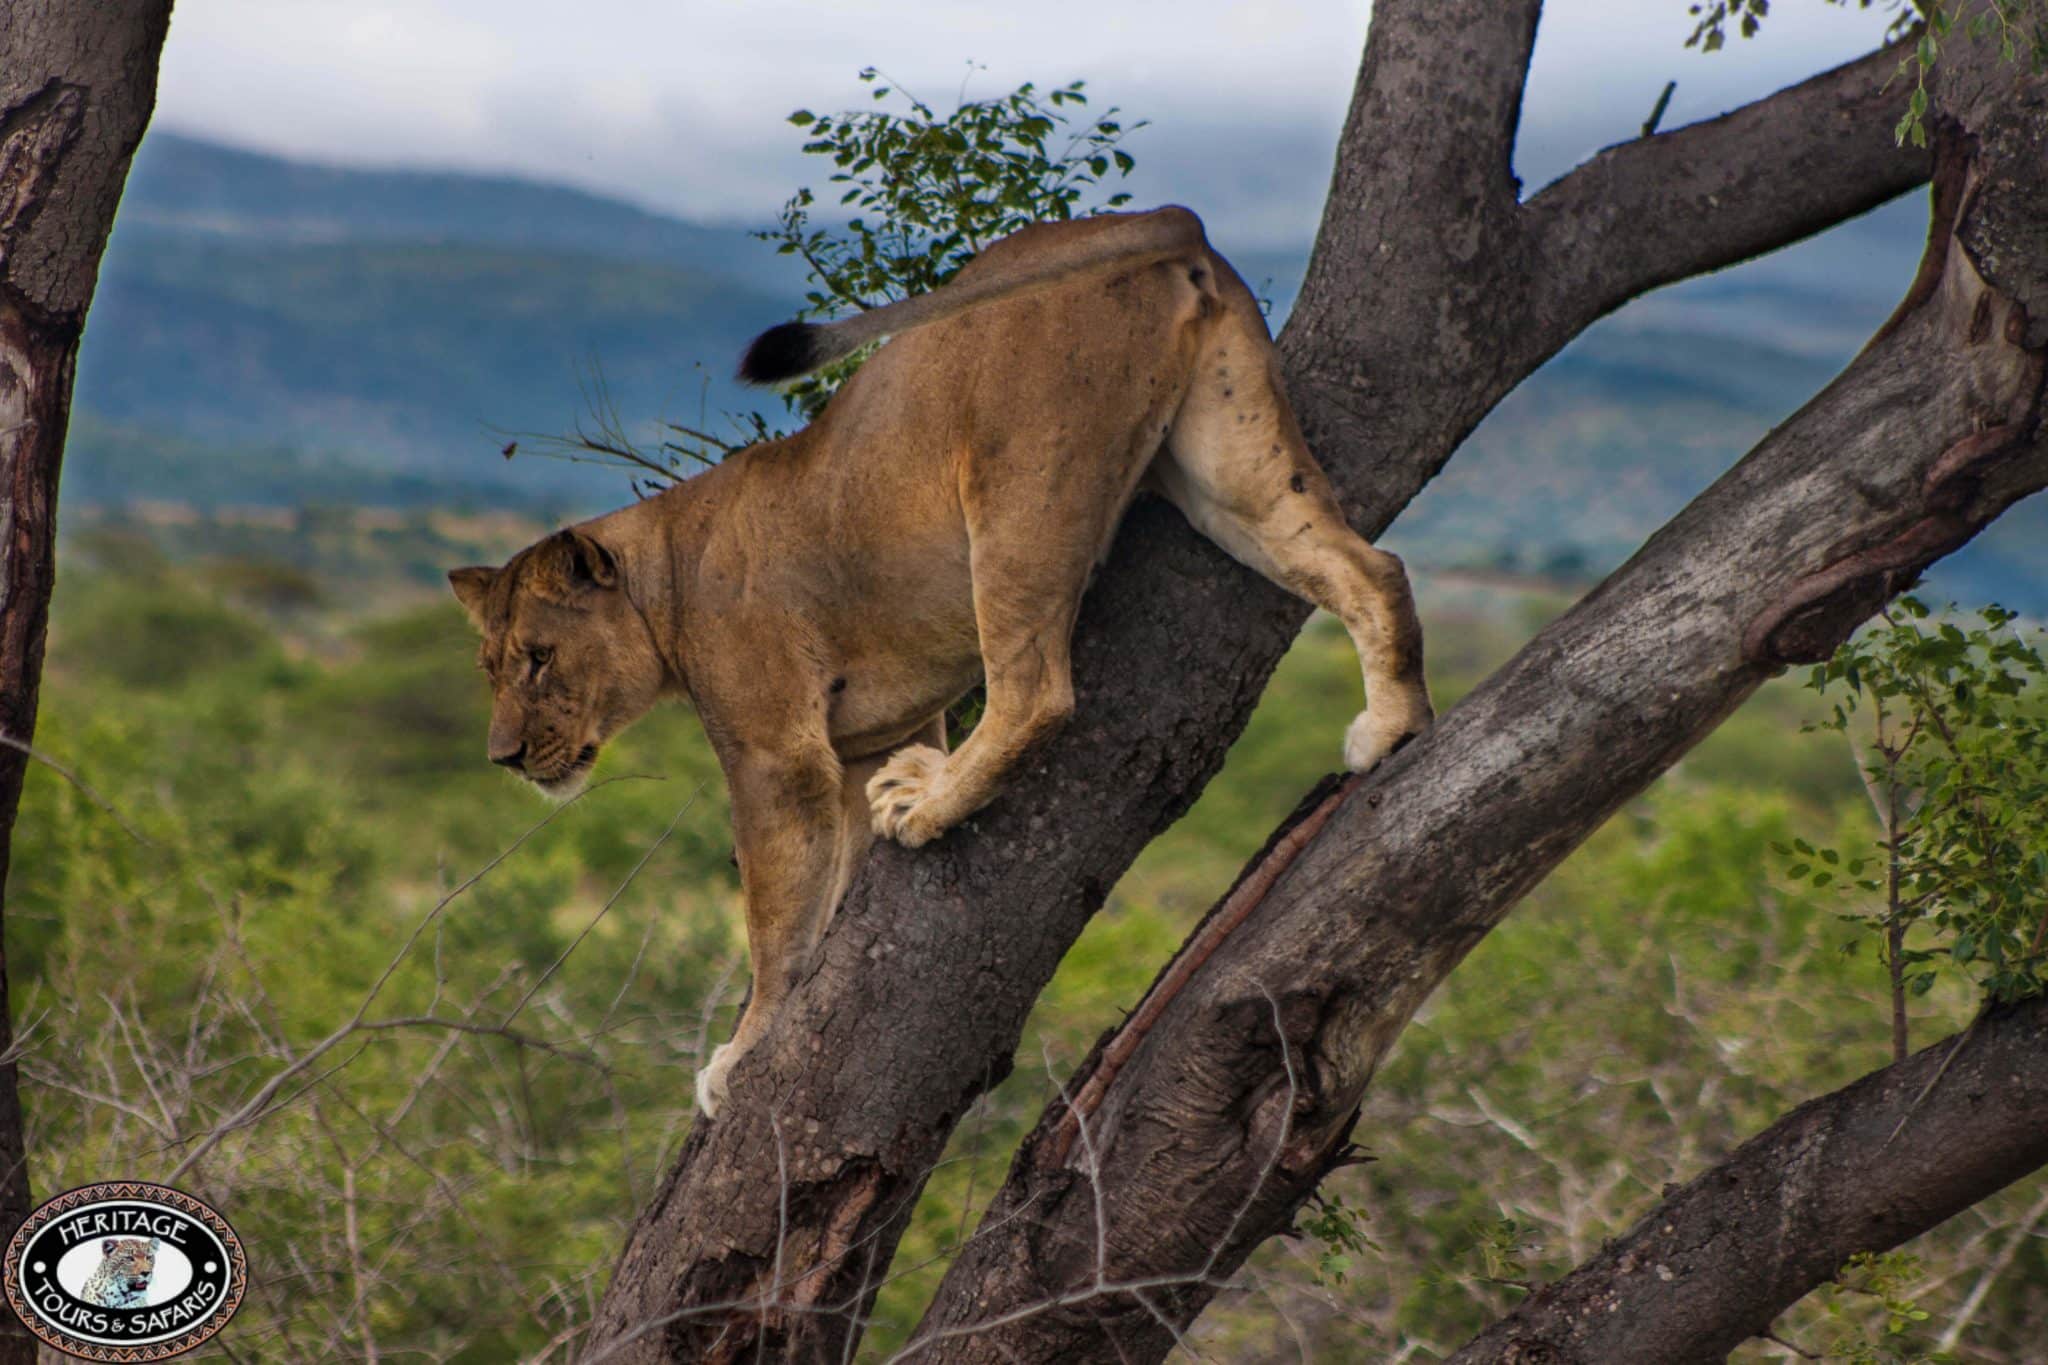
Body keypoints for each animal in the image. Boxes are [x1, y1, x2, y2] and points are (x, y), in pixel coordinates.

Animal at [450, 206, 1432, 1117]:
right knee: (1370, 567)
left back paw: (926, 806)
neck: (665, 572)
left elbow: (775, 924)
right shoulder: (859, 742)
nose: (501, 756)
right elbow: (825, 895)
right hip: (1230, 463)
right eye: (491, 669)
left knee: (1037, 692)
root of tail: (1154, 217)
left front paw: (741, 1054)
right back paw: (1393, 727)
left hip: (1015, 494)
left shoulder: (777, 757)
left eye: (538, 657)